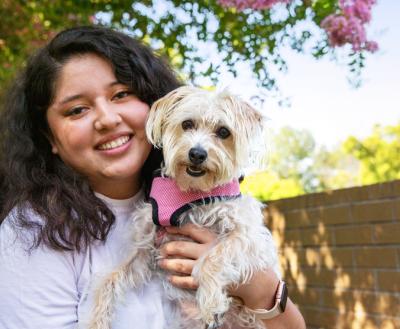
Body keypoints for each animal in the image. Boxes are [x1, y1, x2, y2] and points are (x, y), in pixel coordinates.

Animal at [89, 85, 280, 328]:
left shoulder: (249, 236)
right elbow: (111, 278)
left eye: (224, 132)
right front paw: (96, 321)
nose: (197, 153)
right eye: (187, 124)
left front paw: (211, 302)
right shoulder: (146, 248)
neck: (191, 191)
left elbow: (212, 258)